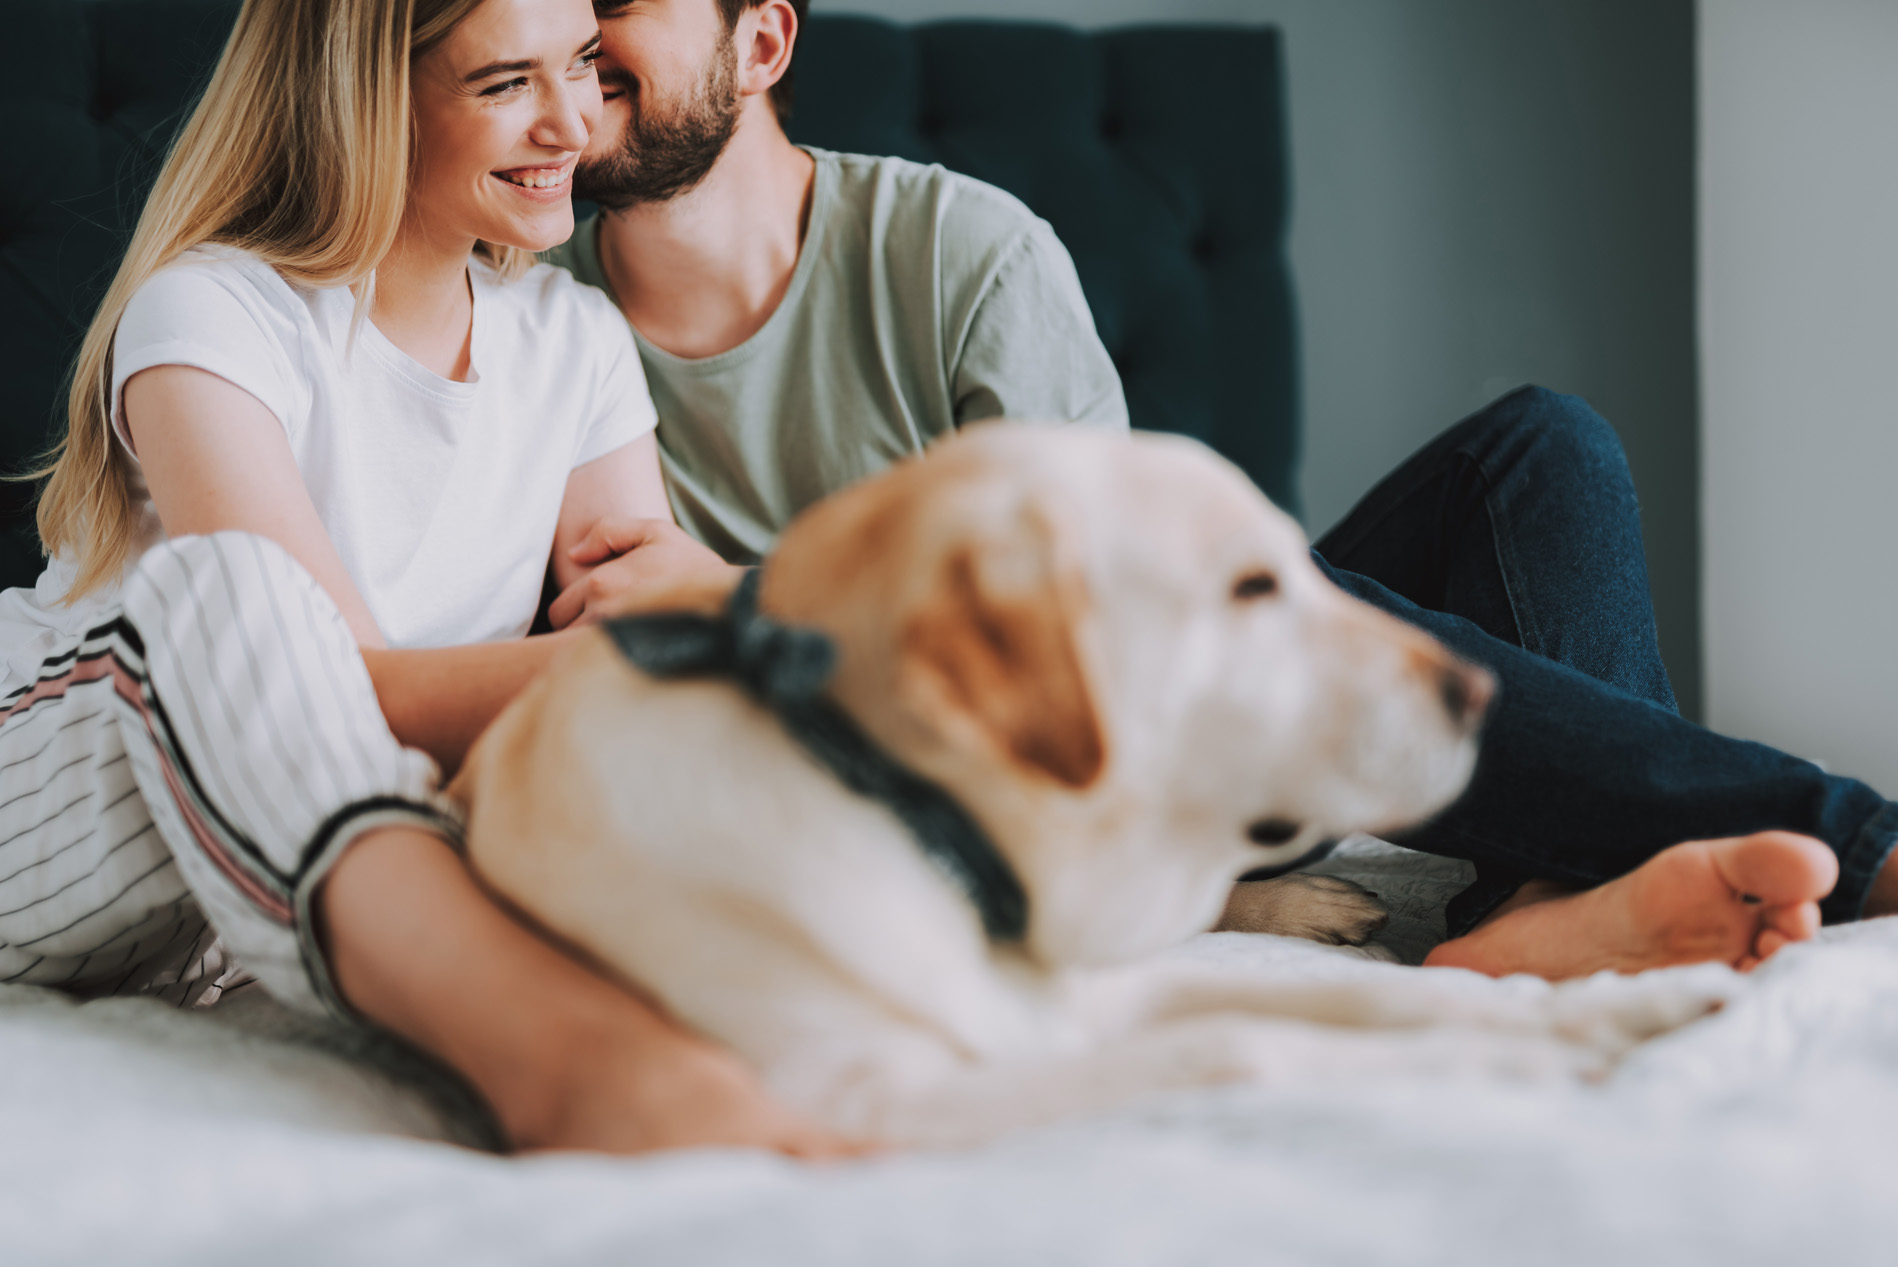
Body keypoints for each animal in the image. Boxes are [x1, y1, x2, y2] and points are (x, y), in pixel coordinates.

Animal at [451, 424, 1730, 1145]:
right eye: (1250, 588)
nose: (1480, 693)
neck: (944, 853)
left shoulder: (1110, 991)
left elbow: (1381, 1002)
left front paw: (1612, 1009)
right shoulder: (861, 1100)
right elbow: (1247, 1048)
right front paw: (1516, 1065)